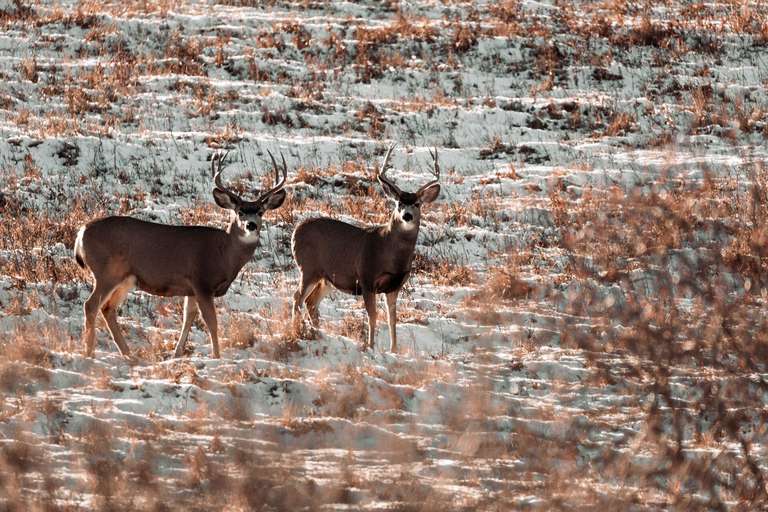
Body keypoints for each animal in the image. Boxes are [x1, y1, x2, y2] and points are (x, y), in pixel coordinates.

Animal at [73, 152, 290, 358]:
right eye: (239, 212)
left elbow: (188, 318)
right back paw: (89, 352)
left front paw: (177, 354)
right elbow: (211, 322)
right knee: (90, 305)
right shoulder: (202, 282)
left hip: (126, 278)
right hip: (106, 272)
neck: (224, 254)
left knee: (108, 308)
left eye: (260, 212)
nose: (251, 225)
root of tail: (81, 232)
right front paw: (217, 356)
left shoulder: (191, 289)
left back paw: (128, 354)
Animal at [292, 144, 440, 352]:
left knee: (310, 302)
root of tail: (296, 231)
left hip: (327, 278)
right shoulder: (366, 277)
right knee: (297, 297)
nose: (407, 215)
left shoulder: (395, 285)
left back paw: (318, 334)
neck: (390, 254)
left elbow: (392, 319)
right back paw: (297, 330)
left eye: (417, 204)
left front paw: (393, 350)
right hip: (308, 268)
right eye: (399, 203)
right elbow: (373, 315)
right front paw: (370, 346)